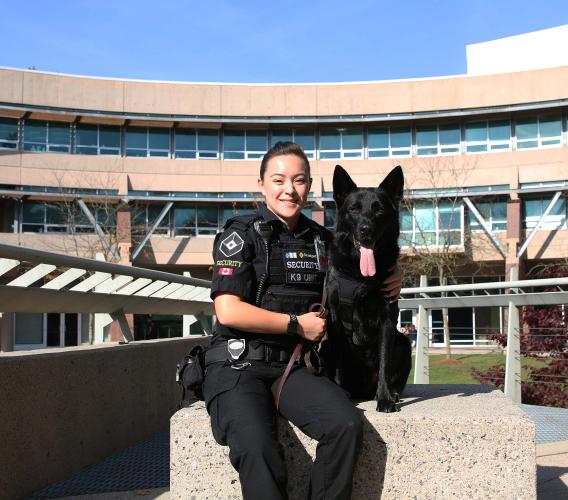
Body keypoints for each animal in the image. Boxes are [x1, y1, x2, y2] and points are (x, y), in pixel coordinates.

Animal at [324, 166, 412, 412]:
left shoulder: (387, 320)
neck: (359, 275)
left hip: (404, 343)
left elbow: (384, 364)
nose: (366, 230)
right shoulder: (334, 320)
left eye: (378, 209)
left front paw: (385, 398)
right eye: (354, 209)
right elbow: (338, 361)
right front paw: (339, 392)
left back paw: (392, 393)